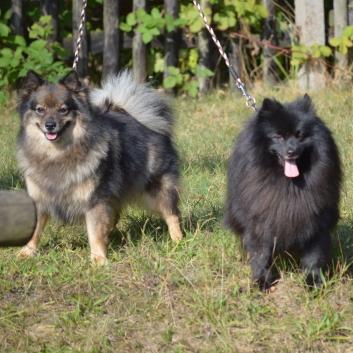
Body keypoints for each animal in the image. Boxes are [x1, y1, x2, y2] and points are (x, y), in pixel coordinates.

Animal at [223, 95, 340, 290]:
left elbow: (313, 257)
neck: (288, 185)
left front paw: (313, 282)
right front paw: (261, 280)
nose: (291, 152)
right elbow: (260, 254)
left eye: (300, 136)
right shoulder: (259, 221)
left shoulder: (316, 222)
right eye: (278, 137)